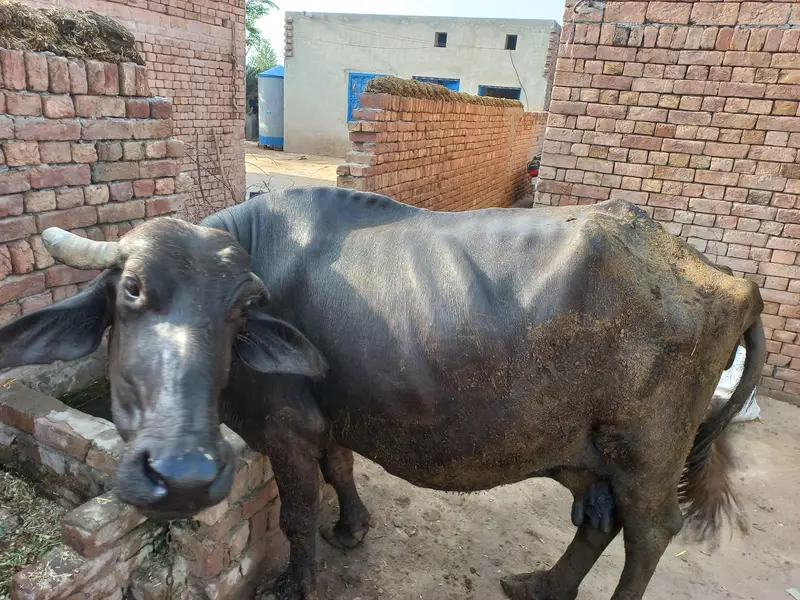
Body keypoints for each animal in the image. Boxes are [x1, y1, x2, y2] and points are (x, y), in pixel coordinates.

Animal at [0, 188, 764, 600]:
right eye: (131, 292)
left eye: (239, 309)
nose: (179, 473)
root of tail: (730, 281)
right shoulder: (330, 420)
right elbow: (341, 470)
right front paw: (352, 528)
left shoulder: (285, 429)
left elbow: (297, 513)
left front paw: (299, 578)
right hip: (585, 447)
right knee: (598, 521)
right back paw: (541, 584)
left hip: (647, 449)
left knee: (651, 531)